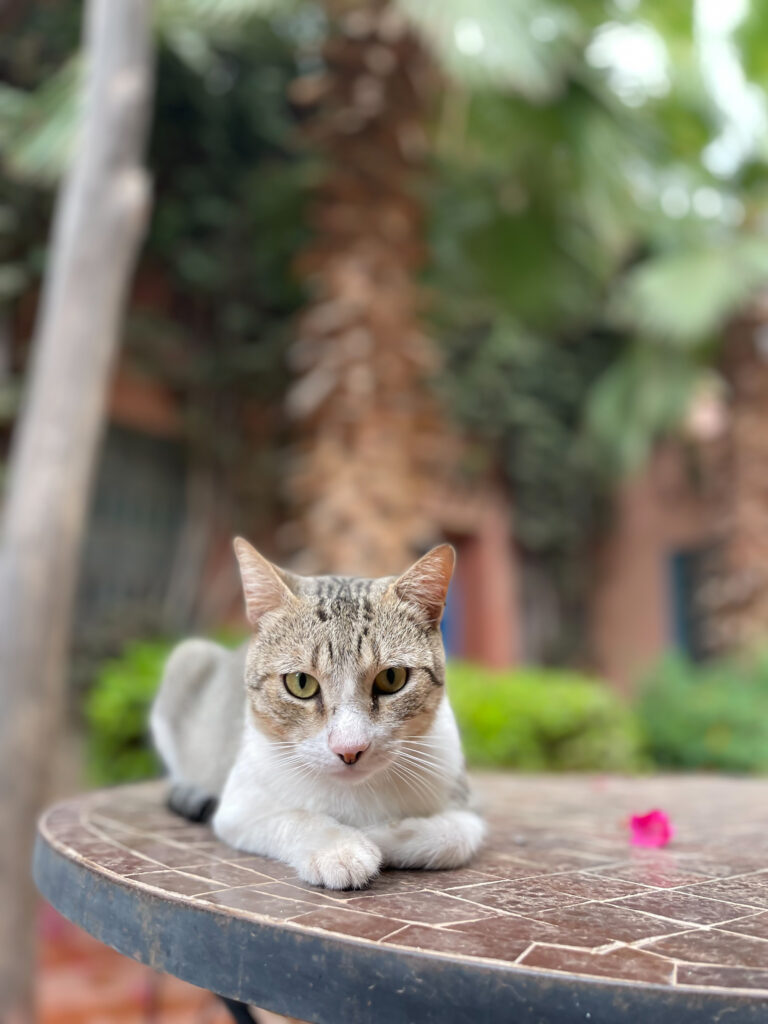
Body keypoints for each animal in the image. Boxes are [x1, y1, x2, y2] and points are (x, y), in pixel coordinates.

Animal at [150, 544, 483, 888]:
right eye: (301, 683)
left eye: (392, 678)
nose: (349, 749)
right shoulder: (239, 807)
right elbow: (293, 818)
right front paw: (342, 848)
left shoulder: (463, 801)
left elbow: (455, 838)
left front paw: (377, 835)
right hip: (187, 658)